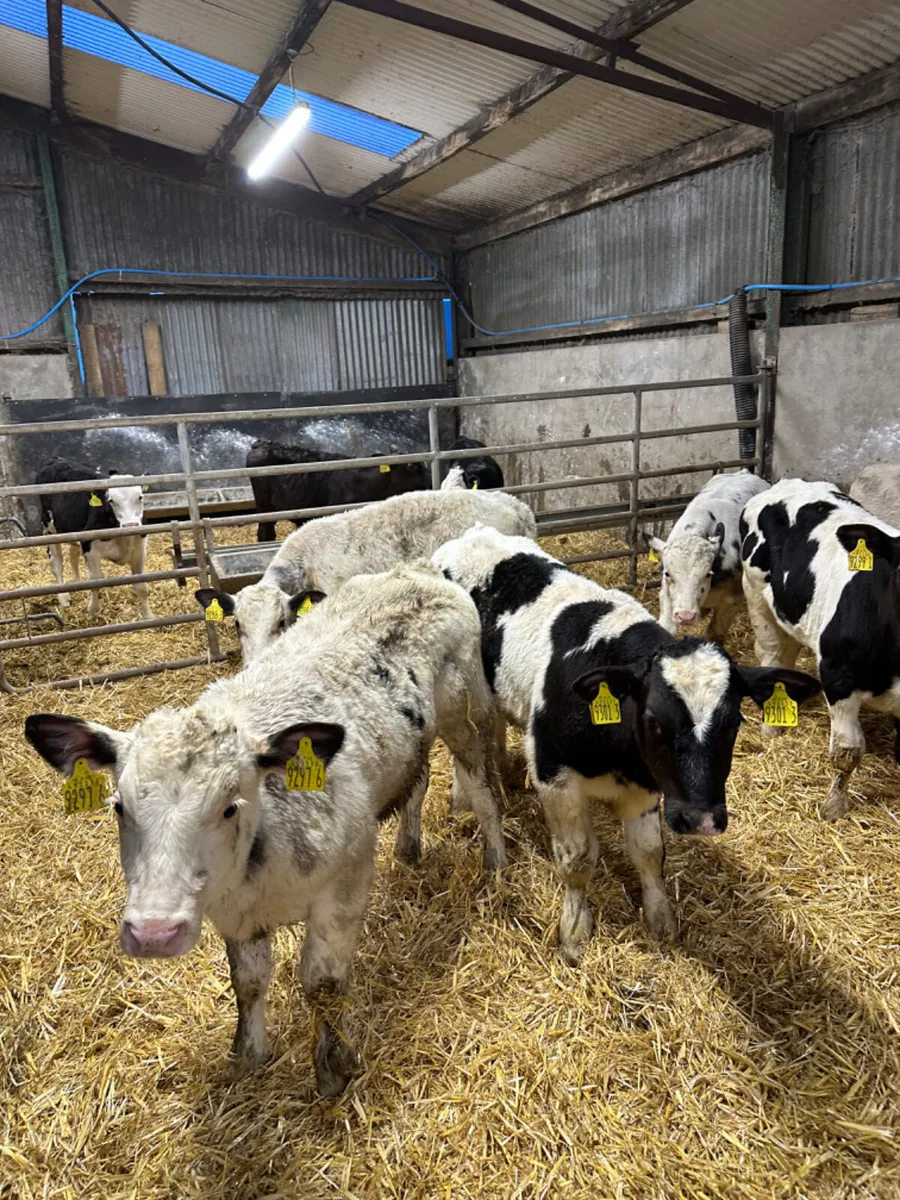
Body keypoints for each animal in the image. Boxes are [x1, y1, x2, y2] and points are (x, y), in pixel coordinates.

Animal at [24, 563, 507, 1096]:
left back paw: (496, 862)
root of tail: (415, 571)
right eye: (118, 808)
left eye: (229, 807)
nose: (154, 933)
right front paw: (249, 1053)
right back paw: (409, 847)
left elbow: (323, 984)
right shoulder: (235, 914)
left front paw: (332, 1067)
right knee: (417, 781)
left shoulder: (345, 885)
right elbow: (248, 980)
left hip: (465, 717)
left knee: (482, 788)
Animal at [35, 457, 151, 620]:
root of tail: (57, 460)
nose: (131, 525)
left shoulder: (139, 549)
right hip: (49, 528)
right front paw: (93, 610)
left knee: (73, 554)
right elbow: (96, 580)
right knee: (56, 563)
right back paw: (63, 598)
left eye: (140, 497)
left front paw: (149, 617)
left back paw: (77, 582)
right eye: (111, 500)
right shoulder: (90, 547)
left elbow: (141, 586)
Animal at [434, 526, 820, 965]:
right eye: (652, 719)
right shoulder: (555, 776)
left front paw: (660, 919)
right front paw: (574, 931)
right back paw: (461, 799)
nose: (701, 819)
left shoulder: (647, 787)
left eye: (734, 721)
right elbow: (577, 859)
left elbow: (649, 853)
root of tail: (472, 533)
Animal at [645, 471, 769, 641]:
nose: (686, 616)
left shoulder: (732, 600)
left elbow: (714, 632)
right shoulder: (666, 593)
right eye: (667, 574)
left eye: (707, 574)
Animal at [741, 477, 900, 820]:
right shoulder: (837, 676)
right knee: (771, 652)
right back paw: (772, 725)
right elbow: (846, 751)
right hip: (756, 596)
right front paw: (834, 806)